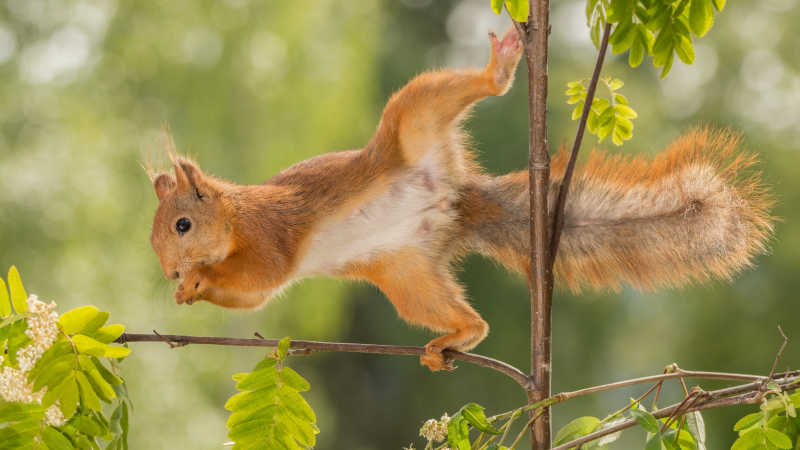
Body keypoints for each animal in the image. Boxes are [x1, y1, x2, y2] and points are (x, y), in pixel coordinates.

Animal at [147, 29, 772, 372]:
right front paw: (186, 292)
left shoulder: (271, 234)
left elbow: (263, 277)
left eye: (181, 225)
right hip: (406, 276)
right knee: (465, 317)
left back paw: (499, 68)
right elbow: (253, 300)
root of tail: (457, 202)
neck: (232, 220)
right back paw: (457, 336)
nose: (168, 271)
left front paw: (198, 280)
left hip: (414, 117)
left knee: (451, 93)